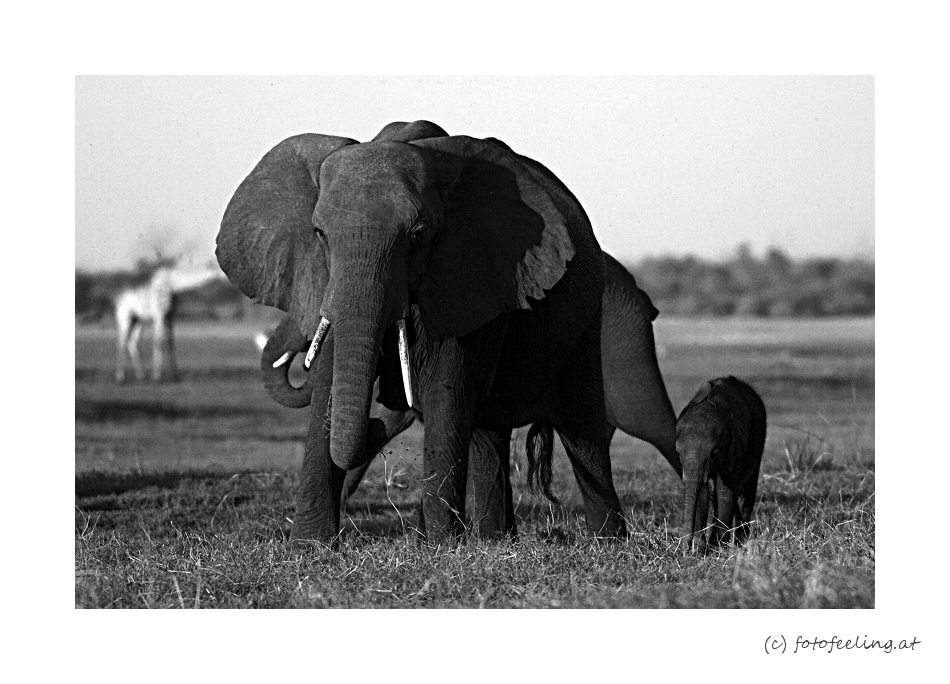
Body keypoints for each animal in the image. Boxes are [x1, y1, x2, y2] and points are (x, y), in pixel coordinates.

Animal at [216, 120, 624, 544]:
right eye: (319, 233)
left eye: (418, 235)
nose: (378, 419)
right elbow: (330, 381)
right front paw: (311, 545)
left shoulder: (473, 275)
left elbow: (447, 389)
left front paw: (443, 546)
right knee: (488, 437)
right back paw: (496, 539)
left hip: (588, 315)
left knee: (583, 431)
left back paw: (607, 541)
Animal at [676, 376, 768, 552]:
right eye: (677, 452)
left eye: (715, 453)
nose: (684, 549)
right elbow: (703, 489)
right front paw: (700, 548)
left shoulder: (734, 446)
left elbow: (725, 490)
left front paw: (719, 548)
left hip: (759, 439)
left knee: (747, 492)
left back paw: (741, 541)